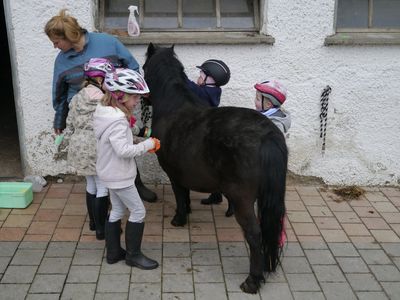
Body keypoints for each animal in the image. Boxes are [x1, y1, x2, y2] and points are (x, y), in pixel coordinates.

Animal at [144, 43, 288, 294]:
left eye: (142, 68)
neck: (174, 108)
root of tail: (267, 135)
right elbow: (185, 196)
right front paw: (188, 211)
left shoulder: (174, 175)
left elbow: (180, 195)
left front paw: (179, 219)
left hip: (242, 199)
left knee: (254, 234)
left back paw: (252, 280)